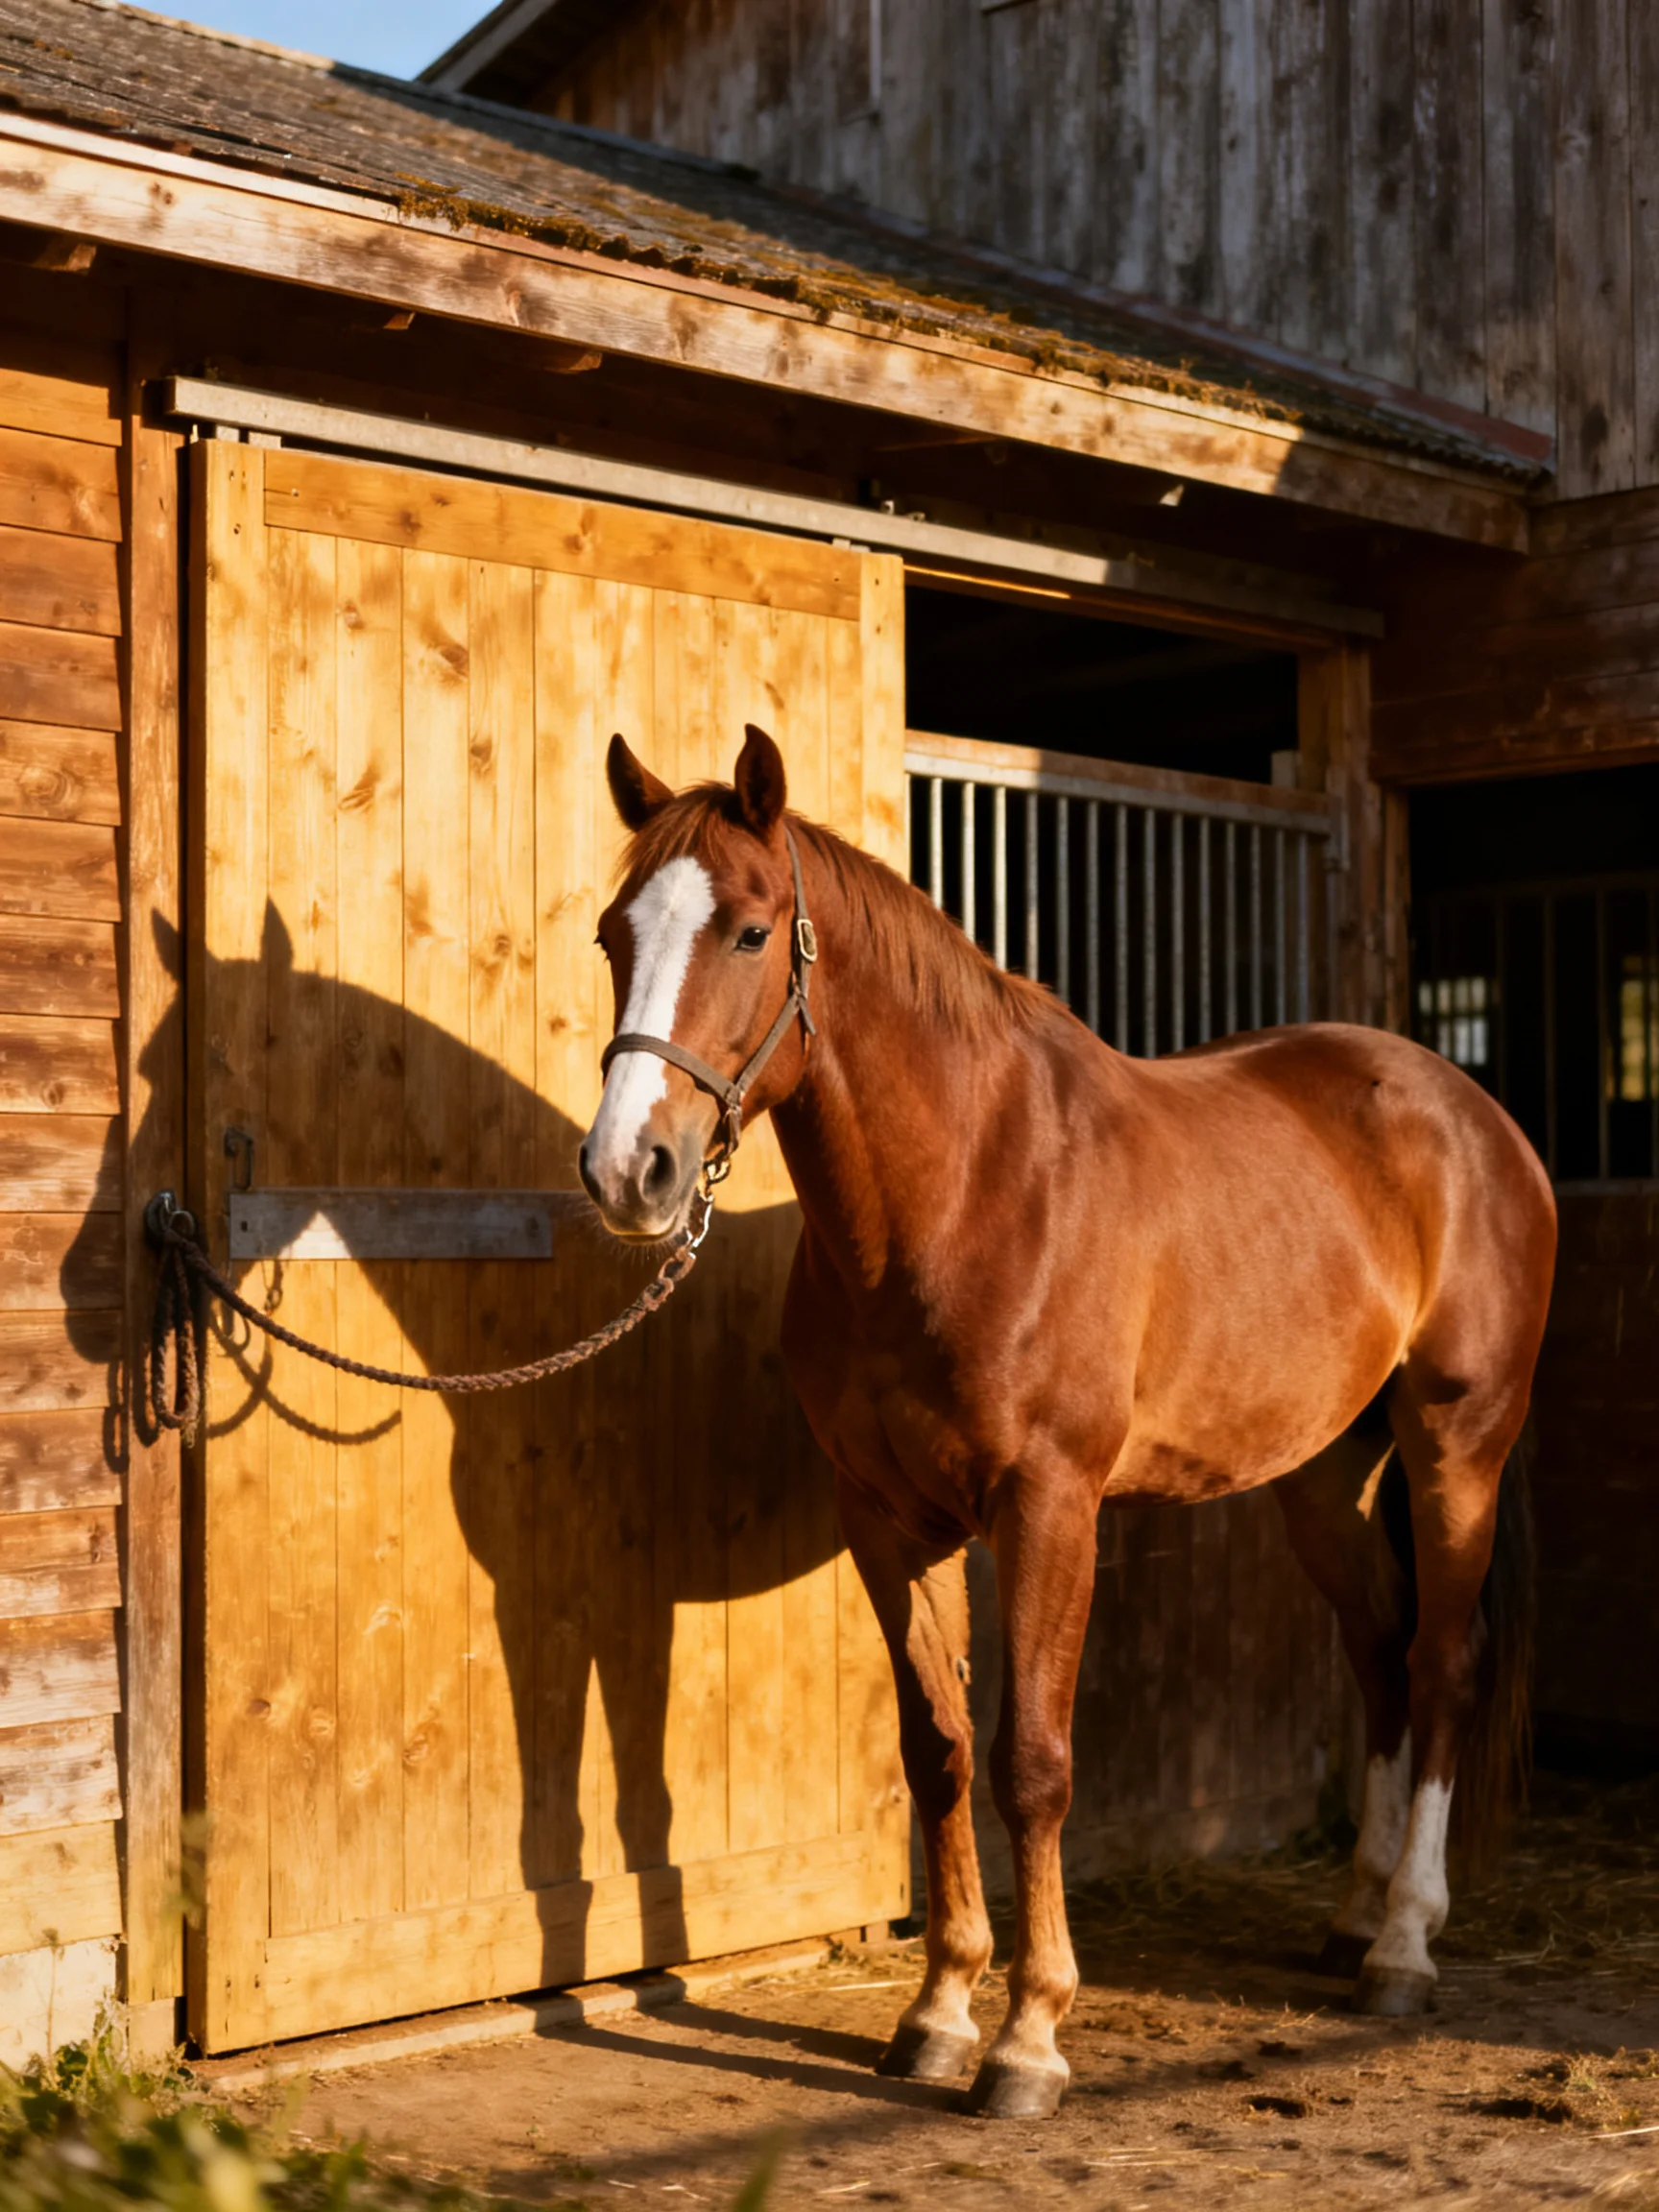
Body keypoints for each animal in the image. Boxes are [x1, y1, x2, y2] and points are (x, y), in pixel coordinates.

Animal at [578, 724, 1557, 2121]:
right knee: (1379, 1654)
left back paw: (1406, 1947)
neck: (966, 1190)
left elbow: (1032, 1761)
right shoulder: (887, 1519)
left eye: (753, 932)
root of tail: (1472, 1113)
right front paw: (936, 2015)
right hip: (1325, 1478)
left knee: (1440, 1663)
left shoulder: (1050, 1506)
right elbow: (937, 1753)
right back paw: (1355, 1918)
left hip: (1454, 1446)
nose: (629, 1172)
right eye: (616, 933)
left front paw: (1030, 2040)